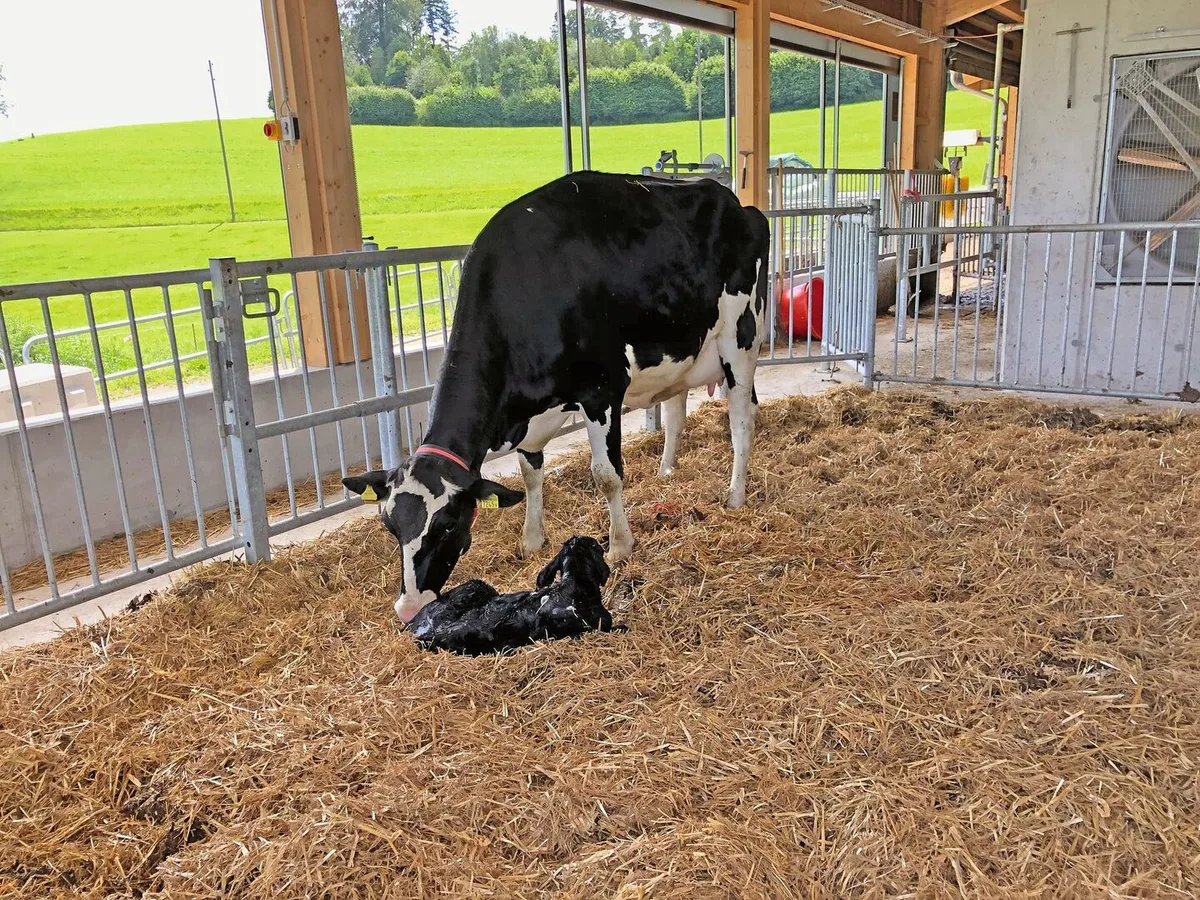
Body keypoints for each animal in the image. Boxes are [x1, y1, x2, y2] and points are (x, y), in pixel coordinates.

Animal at [343, 171, 770, 623]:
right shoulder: (528, 417)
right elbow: (530, 474)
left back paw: (735, 496)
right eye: (389, 525)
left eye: (446, 525)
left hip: (740, 340)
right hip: (683, 350)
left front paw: (620, 545)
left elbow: (606, 475)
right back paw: (666, 470)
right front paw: (532, 539)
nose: (409, 608)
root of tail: (733, 200)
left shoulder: (602, 390)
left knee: (742, 421)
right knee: (675, 412)